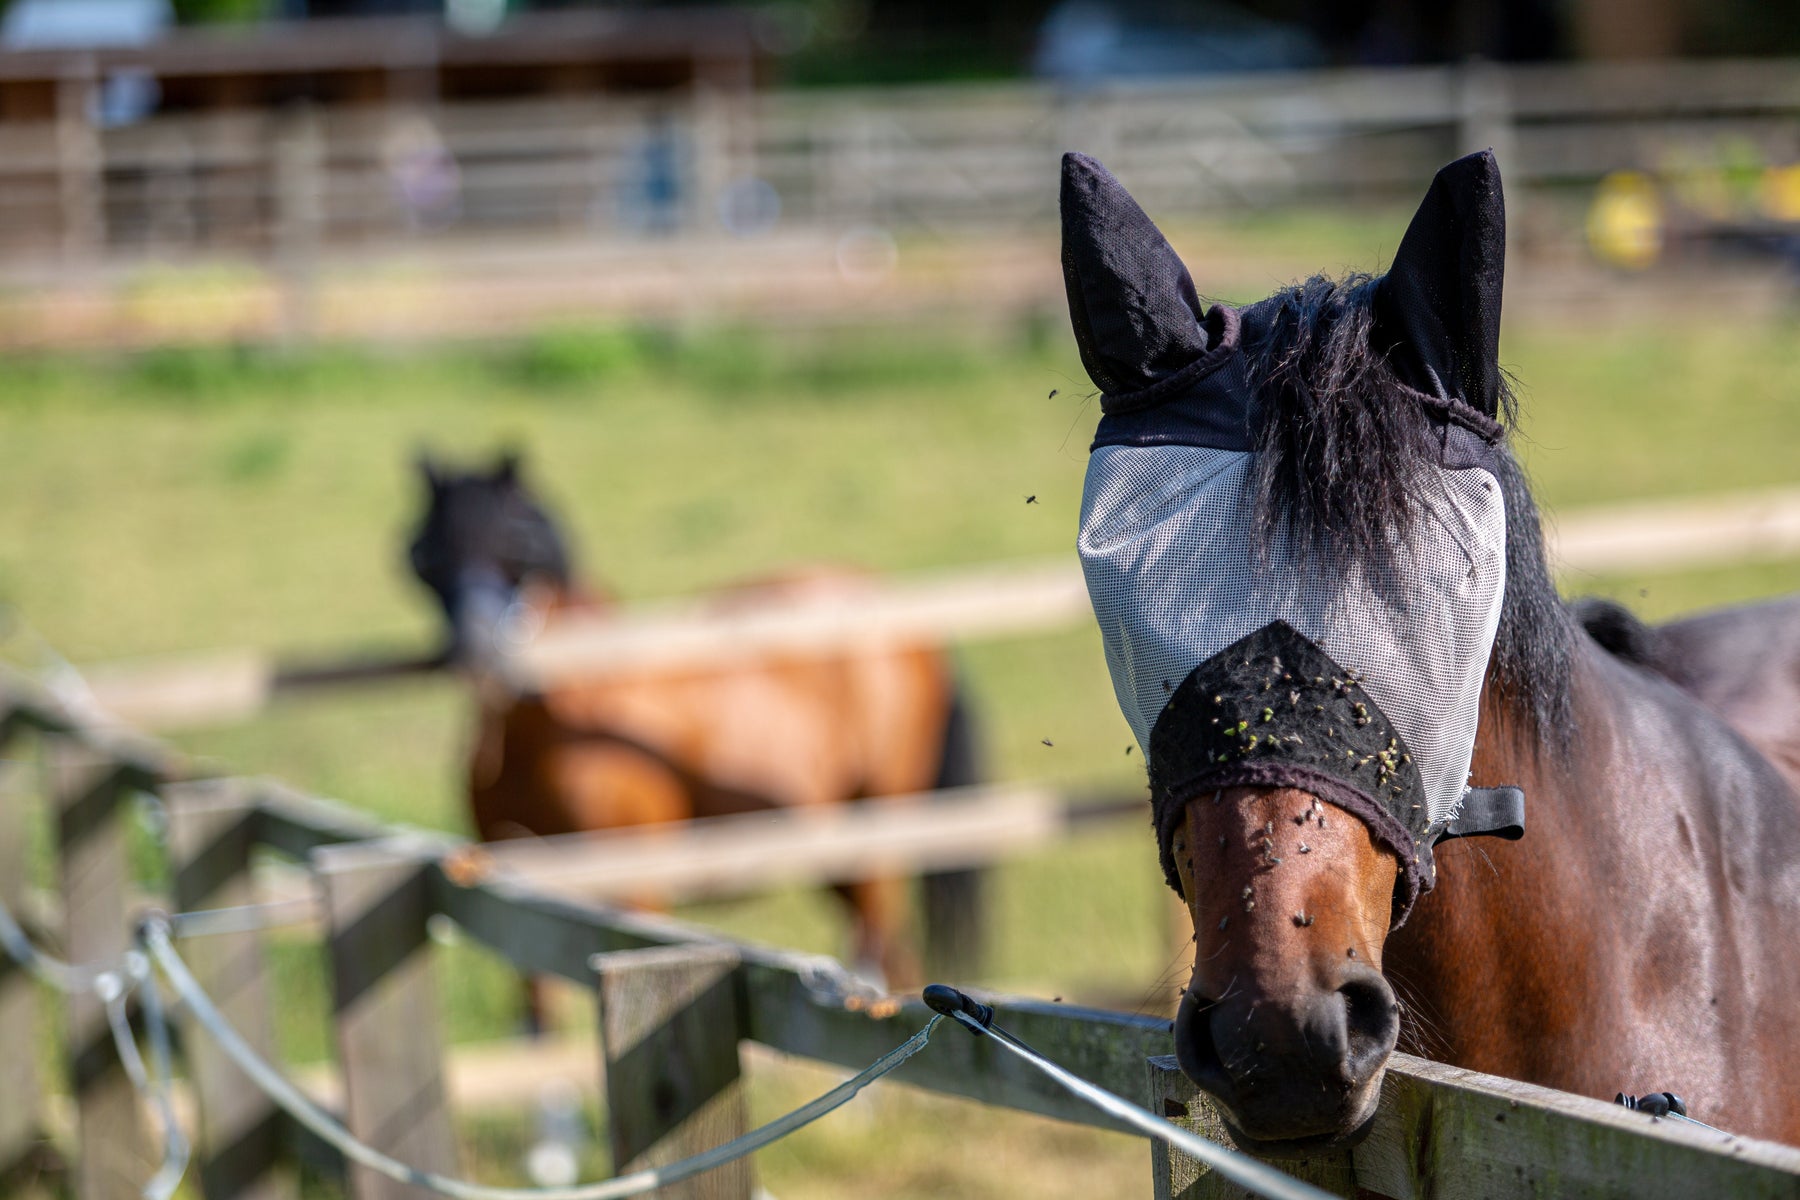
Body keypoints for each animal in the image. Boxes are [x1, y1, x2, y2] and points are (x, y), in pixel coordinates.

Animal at [405, 451, 983, 993]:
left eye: (518, 545)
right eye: (423, 557)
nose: (475, 651)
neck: (557, 733)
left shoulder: (637, 890)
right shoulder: (521, 895)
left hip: (877, 837)